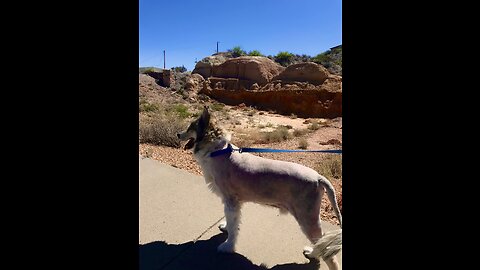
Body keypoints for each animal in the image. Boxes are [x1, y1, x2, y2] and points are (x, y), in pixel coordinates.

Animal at [178, 106, 344, 268]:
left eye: (191, 127)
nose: (178, 134)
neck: (218, 151)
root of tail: (318, 177)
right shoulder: (231, 202)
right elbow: (231, 222)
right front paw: (225, 227)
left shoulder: (231, 202)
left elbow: (233, 227)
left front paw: (228, 246)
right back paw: (312, 253)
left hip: (307, 218)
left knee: (328, 253)